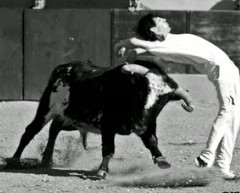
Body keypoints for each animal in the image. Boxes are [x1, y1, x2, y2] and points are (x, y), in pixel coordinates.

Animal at [9, 60, 195, 178]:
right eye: (143, 90)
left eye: (162, 102)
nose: (139, 126)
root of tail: (63, 68)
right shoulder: (108, 126)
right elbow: (108, 149)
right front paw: (102, 171)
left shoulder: (148, 124)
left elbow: (152, 142)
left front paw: (162, 161)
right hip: (46, 108)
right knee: (30, 131)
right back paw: (15, 160)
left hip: (69, 119)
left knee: (54, 130)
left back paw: (47, 159)